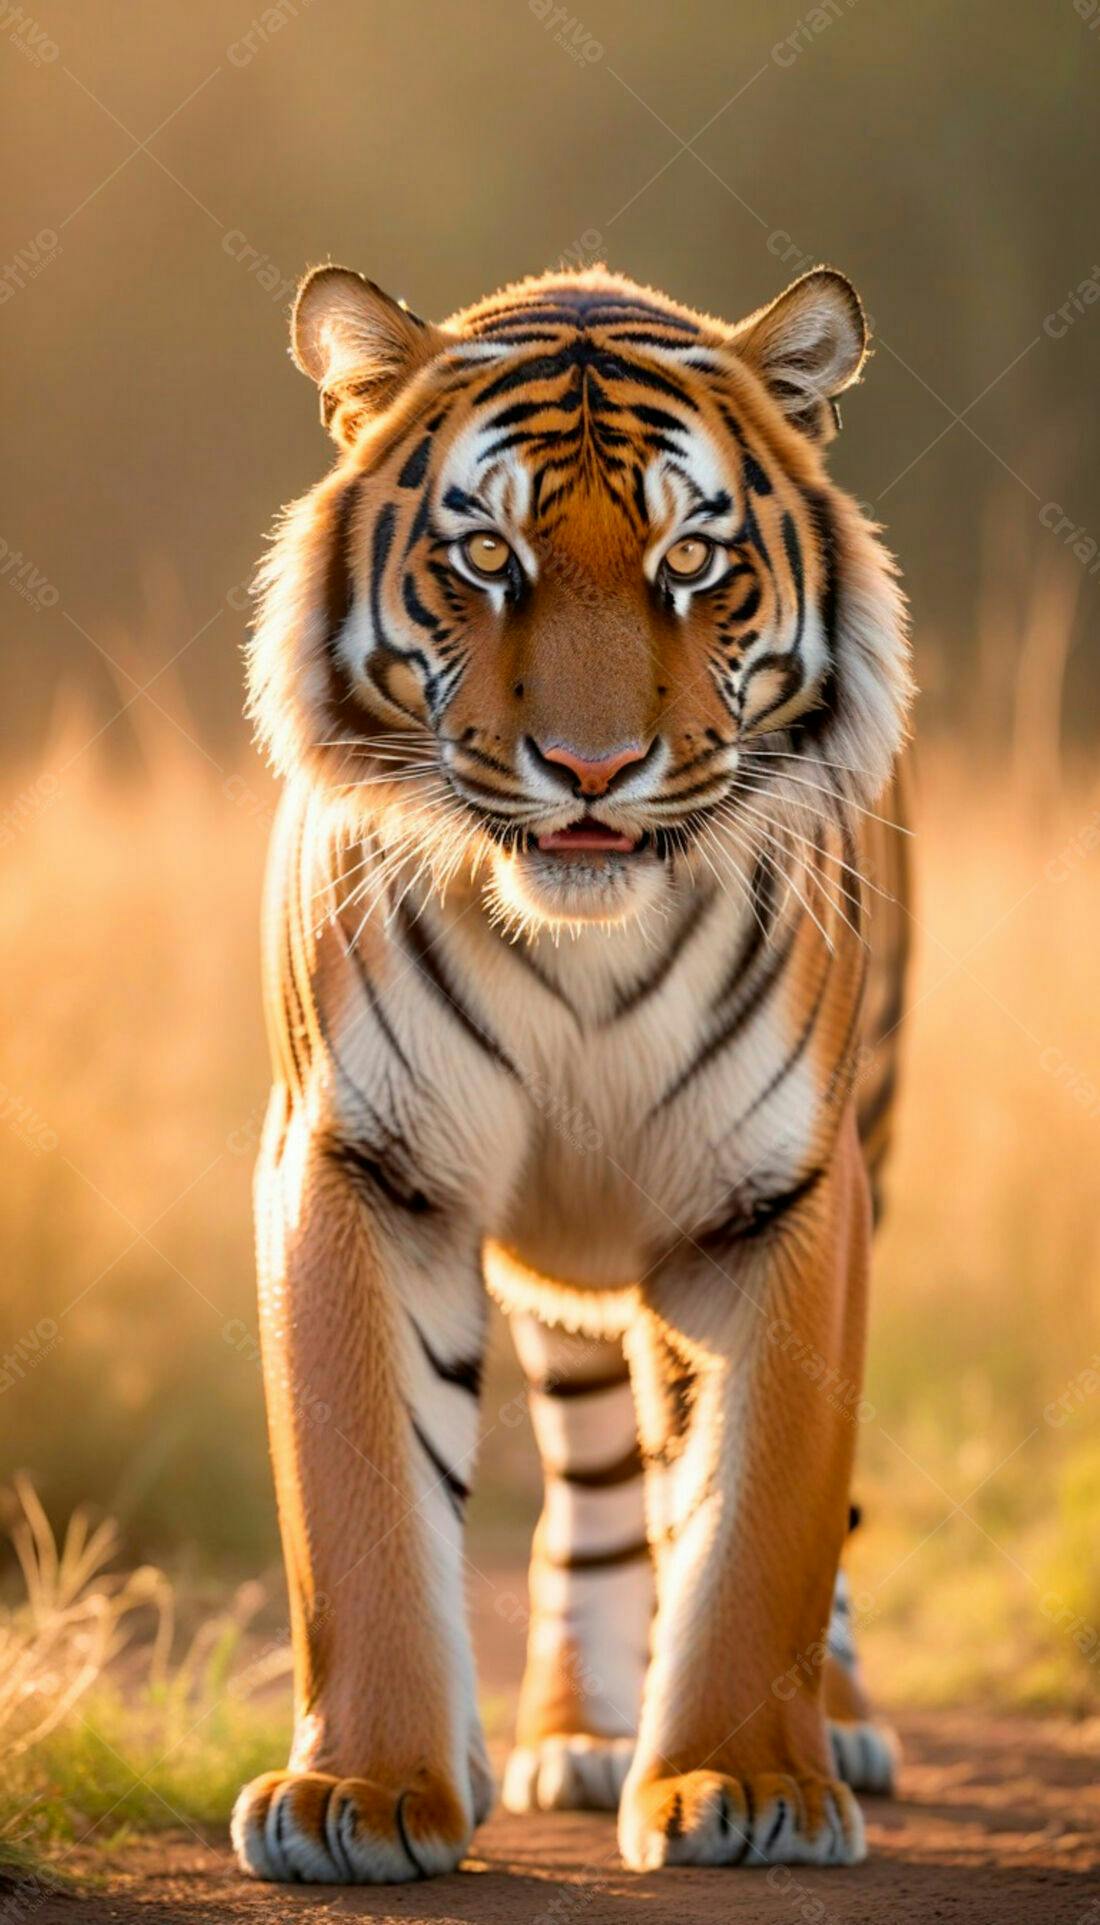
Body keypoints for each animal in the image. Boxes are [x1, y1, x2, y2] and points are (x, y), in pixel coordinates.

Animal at [229, 259, 913, 1884]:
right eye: (487, 556)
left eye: (690, 561)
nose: (591, 771)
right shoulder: (360, 1162)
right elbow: (361, 1500)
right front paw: (362, 1793)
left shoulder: (780, 1196)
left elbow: (763, 1510)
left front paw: (745, 1782)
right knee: (598, 1491)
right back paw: (585, 1734)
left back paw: (838, 1723)